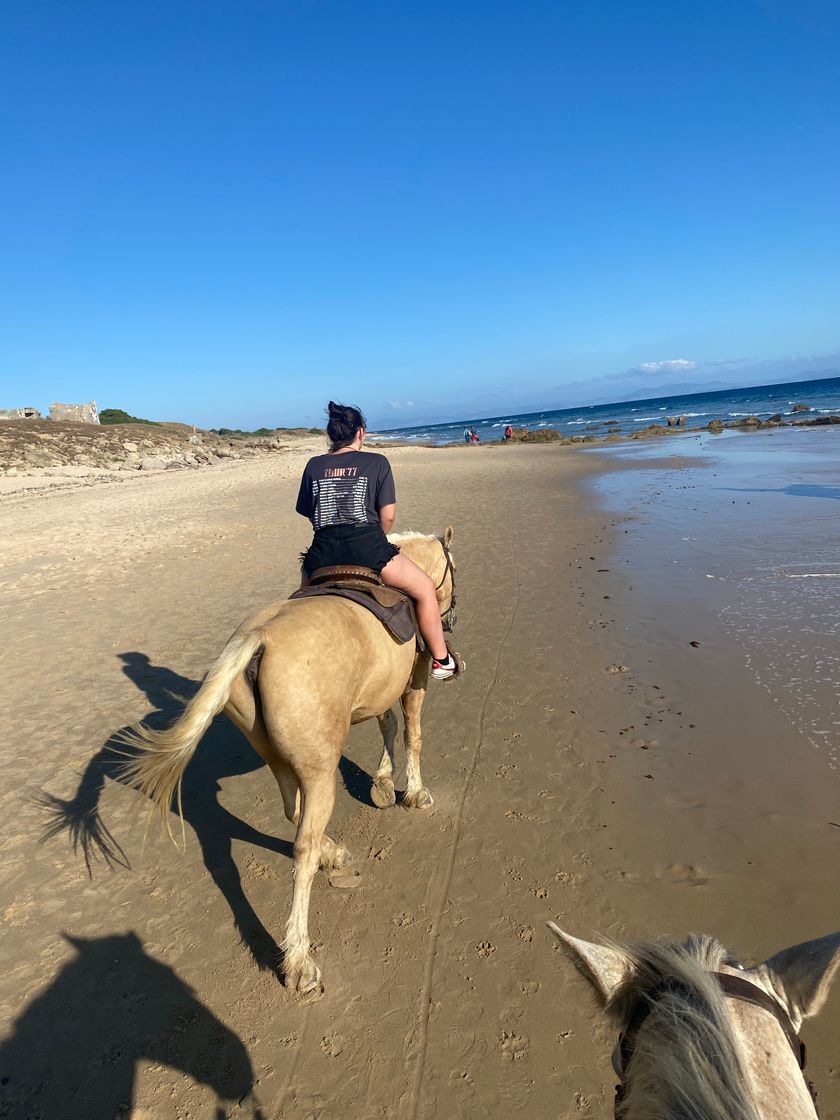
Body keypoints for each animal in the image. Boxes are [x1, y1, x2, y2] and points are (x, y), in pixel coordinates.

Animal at [121, 528, 456, 994]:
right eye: (453, 571)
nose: (450, 616)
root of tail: (260, 638)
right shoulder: (416, 674)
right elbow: (412, 732)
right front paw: (415, 793)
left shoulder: (380, 690)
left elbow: (387, 725)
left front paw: (384, 783)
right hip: (319, 771)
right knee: (302, 846)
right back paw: (298, 959)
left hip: (275, 752)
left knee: (293, 810)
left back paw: (332, 854)